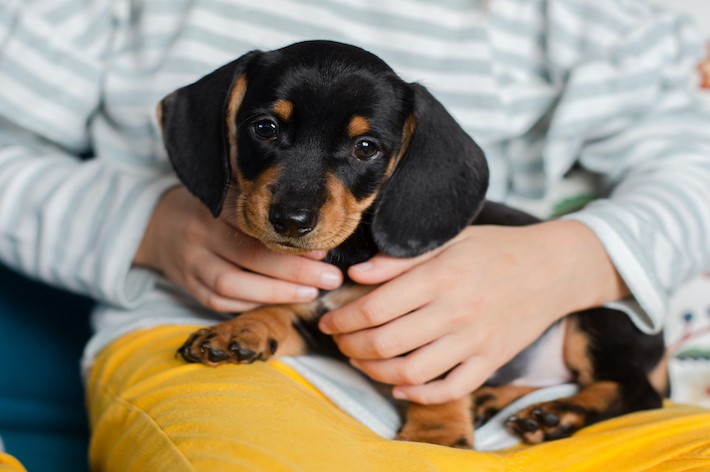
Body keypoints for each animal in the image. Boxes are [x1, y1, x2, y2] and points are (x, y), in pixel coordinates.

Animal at [159, 41, 672, 450]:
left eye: (366, 147)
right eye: (264, 127)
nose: (290, 220)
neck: (350, 254)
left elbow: (436, 383)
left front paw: (436, 434)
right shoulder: (321, 323)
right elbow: (280, 310)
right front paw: (241, 329)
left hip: (598, 320)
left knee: (636, 391)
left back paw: (561, 413)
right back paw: (497, 400)